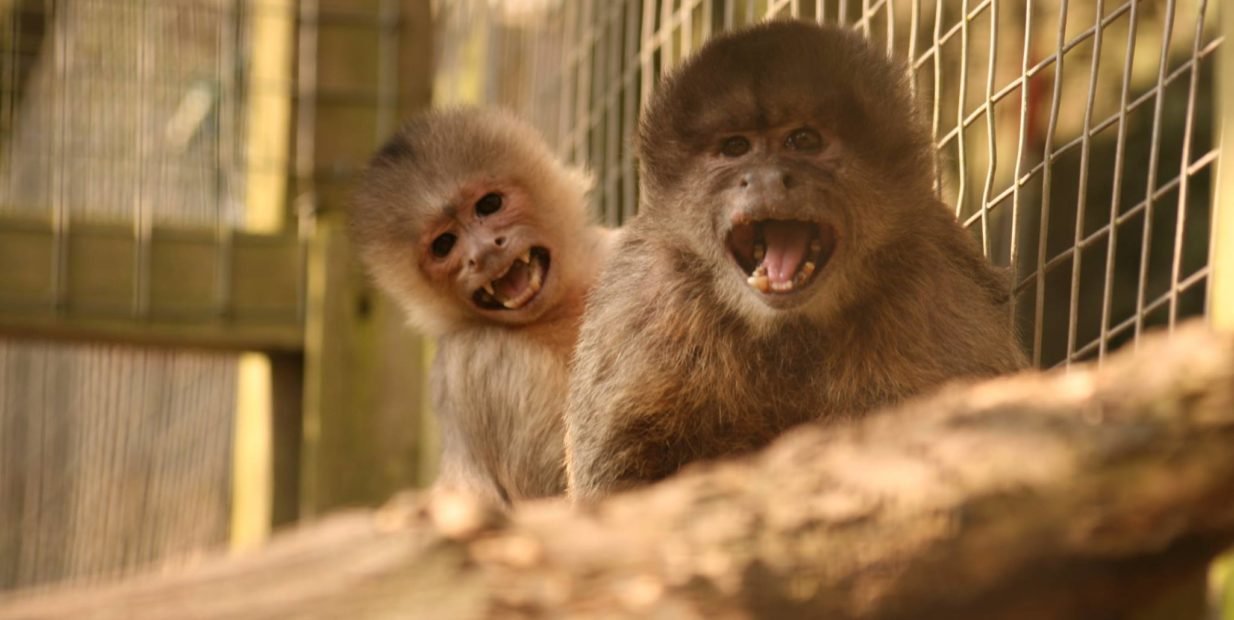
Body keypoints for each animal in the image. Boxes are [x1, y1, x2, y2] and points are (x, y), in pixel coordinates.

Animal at [564, 20, 1027, 500]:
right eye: (735, 147)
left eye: (803, 140)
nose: (766, 177)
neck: (789, 332)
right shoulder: (644, 302)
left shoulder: (937, 280)